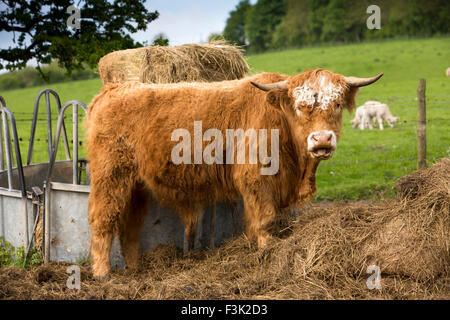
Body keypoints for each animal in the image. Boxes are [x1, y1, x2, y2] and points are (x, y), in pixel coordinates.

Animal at [86, 68, 382, 278]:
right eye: (301, 107)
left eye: (337, 105)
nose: (322, 140)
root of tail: (112, 90)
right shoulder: (256, 179)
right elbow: (266, 220)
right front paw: (267, 253)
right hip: (110, 176)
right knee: (103, 221)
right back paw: (103, 274)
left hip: (136, 186)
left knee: (129, 226)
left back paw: (134, 269)